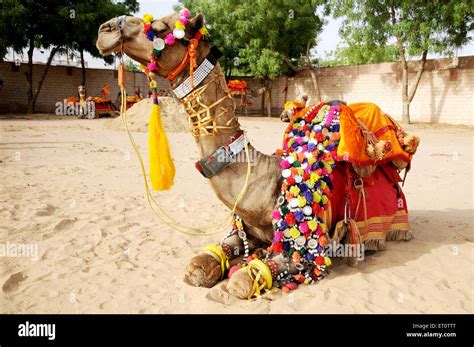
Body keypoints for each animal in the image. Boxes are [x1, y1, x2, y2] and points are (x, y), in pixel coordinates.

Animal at [95, 10, 418, 300]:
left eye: (161, 28)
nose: (105, 29)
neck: (262, 180)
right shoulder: (242, 229)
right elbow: (197, 266)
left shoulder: (307, 247)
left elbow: (241, 282)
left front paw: (233, 283)